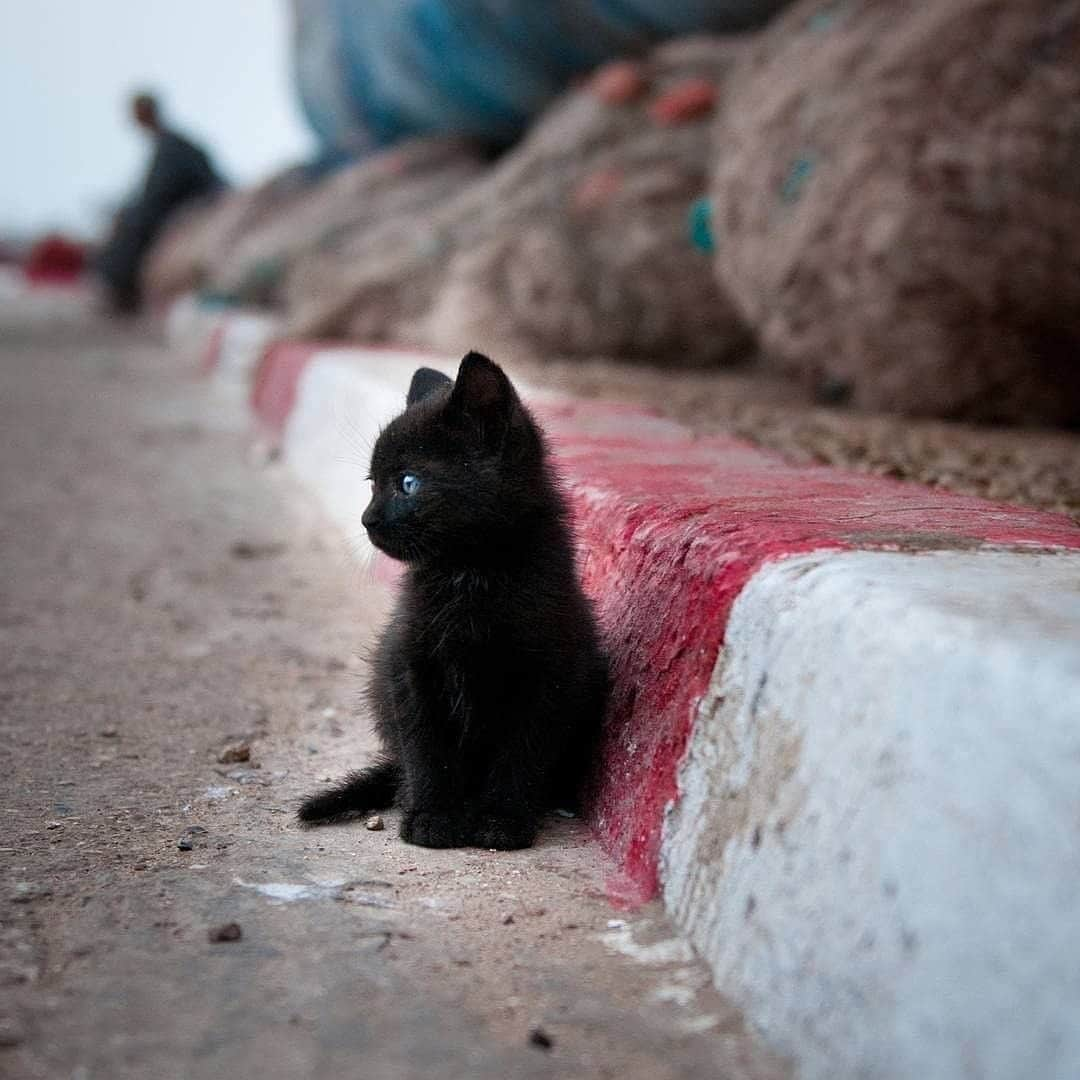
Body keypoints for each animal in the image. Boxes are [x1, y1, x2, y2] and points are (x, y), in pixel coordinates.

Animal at [298, 349, 609, 846]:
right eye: (371, 483)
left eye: (407, 483)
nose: (367, 519)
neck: (469, 574)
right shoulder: (408, 664)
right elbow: (426, 746)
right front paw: (433, 816)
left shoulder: (551, 675)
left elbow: (522, 752)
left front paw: (502, 820)